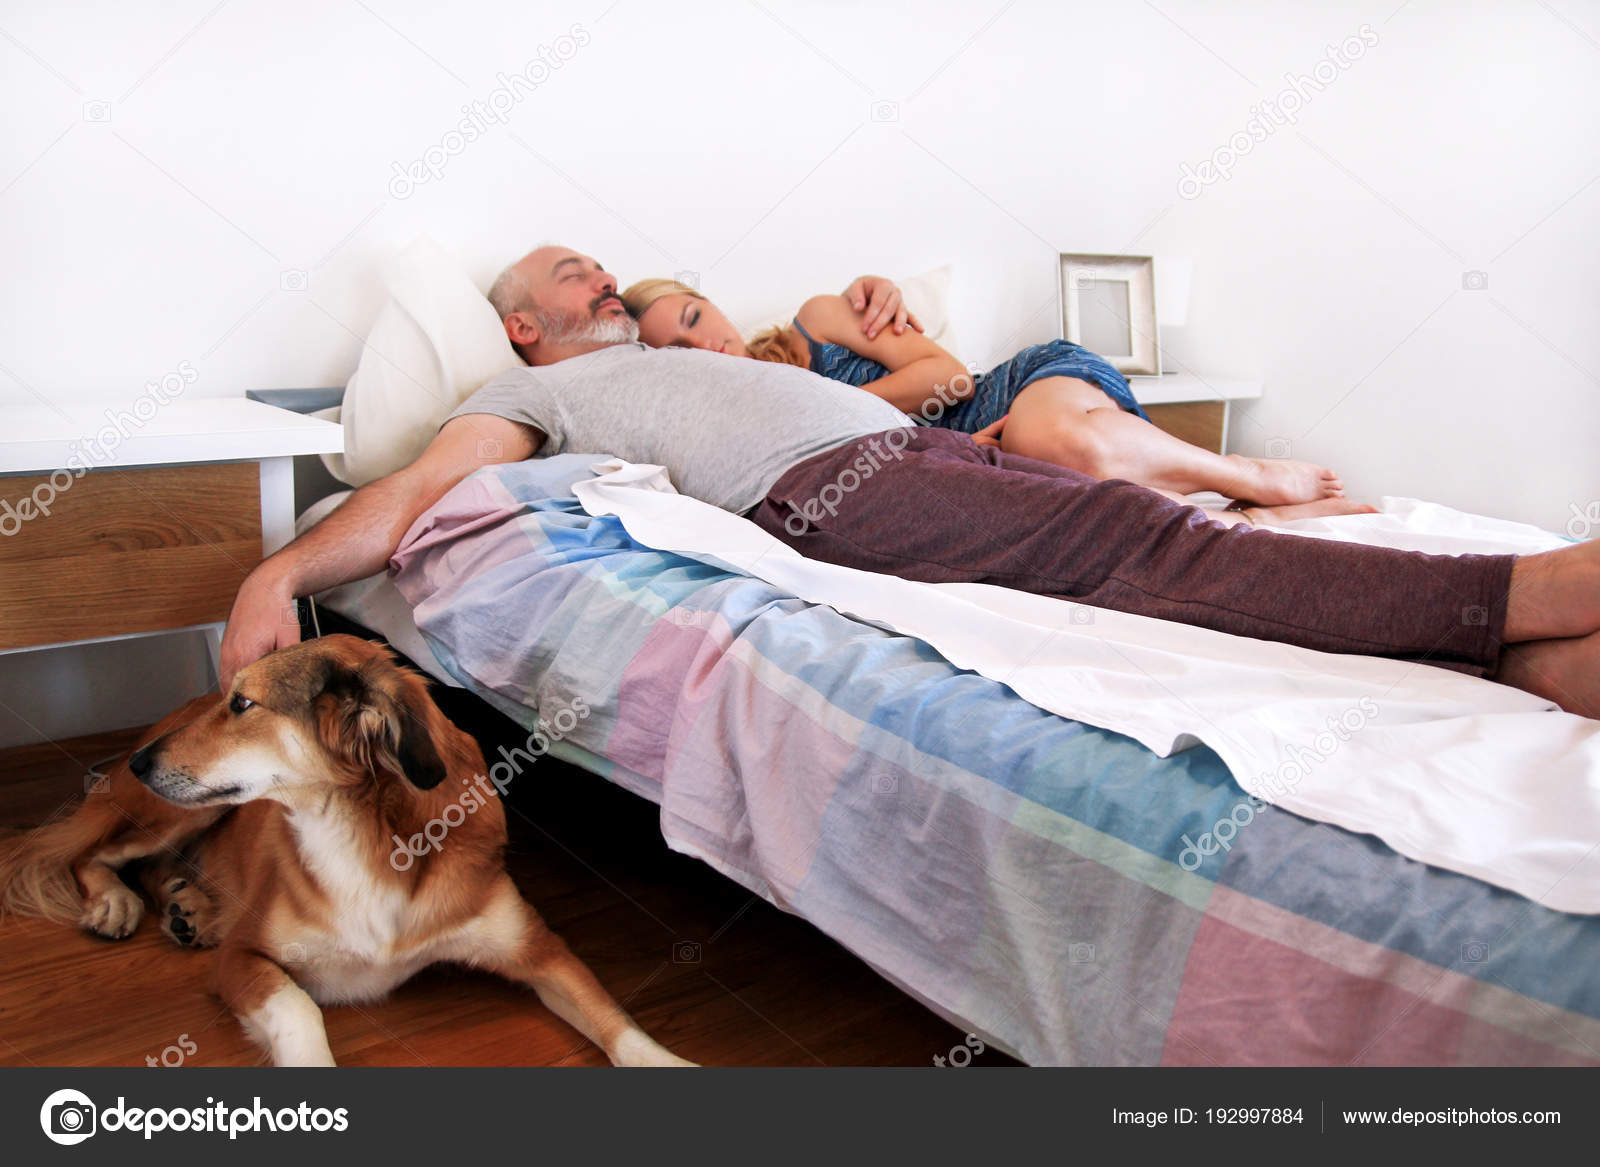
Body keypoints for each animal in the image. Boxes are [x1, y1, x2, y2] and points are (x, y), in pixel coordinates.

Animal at [0, 637, 694, 1062]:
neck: (359, 832)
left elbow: (618, 1021)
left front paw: (670, 1063)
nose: (140, 763)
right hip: (170, 815)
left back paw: (187, 906)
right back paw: (117, 903)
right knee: (95, 854)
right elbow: (302, 1011)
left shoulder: (539, 950)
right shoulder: (242, 959)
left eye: (243, 703)